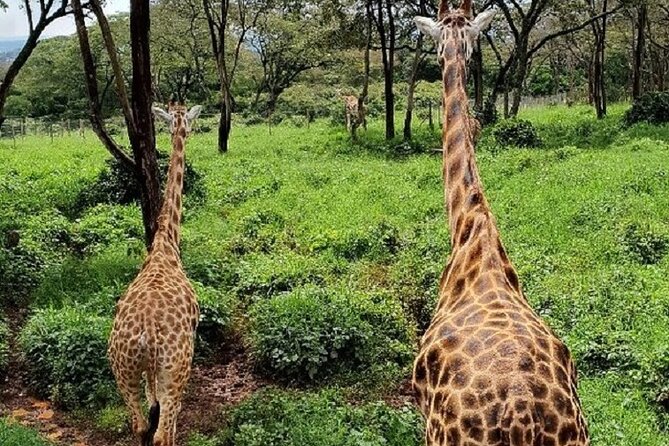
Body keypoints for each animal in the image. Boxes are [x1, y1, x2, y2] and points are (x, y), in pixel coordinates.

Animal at [108, 100, 202, 446]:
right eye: (187, 120)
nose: (186, 129)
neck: (166, 244)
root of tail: (147, 334)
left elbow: (150, 410)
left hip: (124, 371)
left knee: (139, 425)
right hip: (176, 368)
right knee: (163, 432)